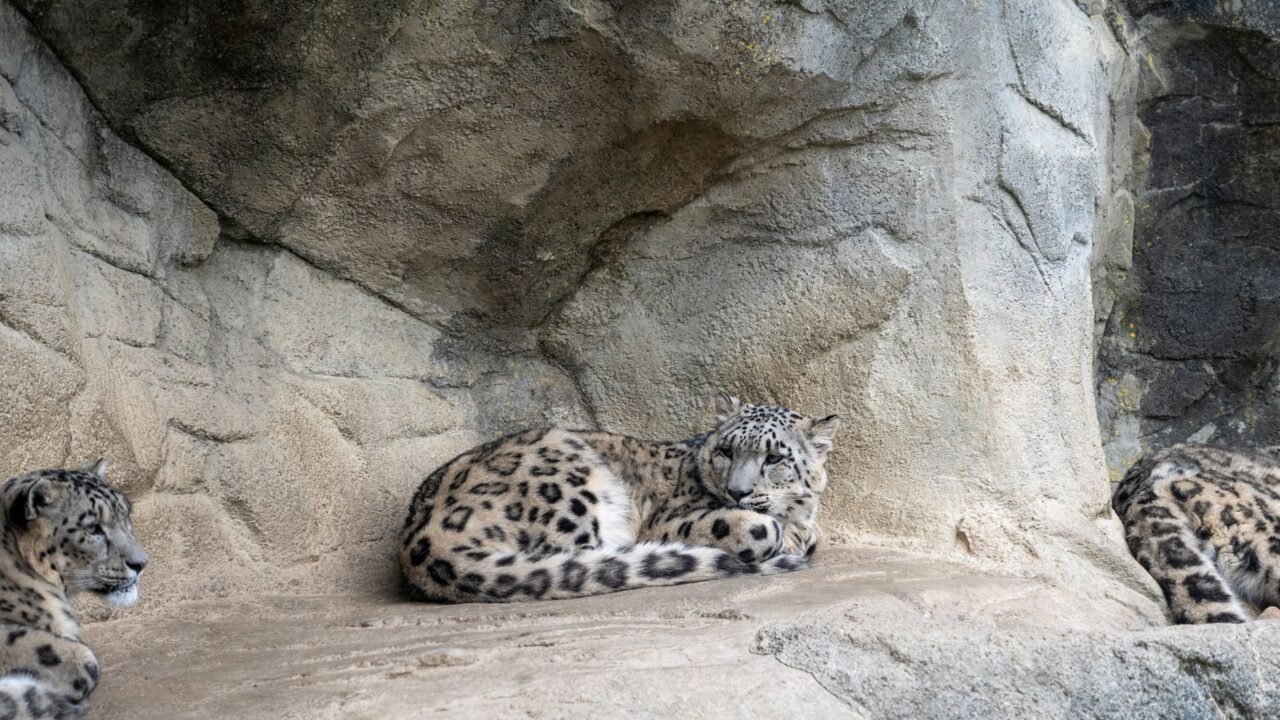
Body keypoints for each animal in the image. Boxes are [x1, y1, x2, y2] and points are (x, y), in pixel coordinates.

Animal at [400, 395, 840, 602]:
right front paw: (777, 534)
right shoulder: (668, 521)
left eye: (775, 457)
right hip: (571, 483)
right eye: (726, 451)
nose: (737, 491)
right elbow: (755, 530)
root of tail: (418, 538)